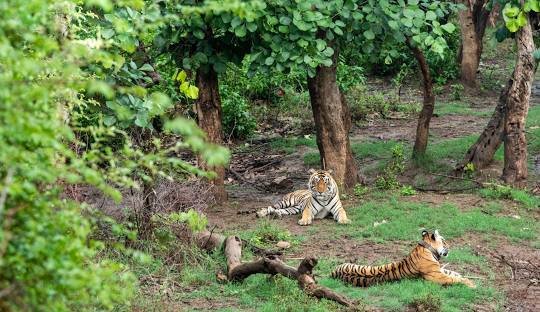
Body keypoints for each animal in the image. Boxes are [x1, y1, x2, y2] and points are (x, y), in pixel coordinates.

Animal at [332, 229, 474, 288]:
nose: (449, 247)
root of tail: (333, 272)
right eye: (444, 241)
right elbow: (454, 279)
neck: (427, 248)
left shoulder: (439, 270)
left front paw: (464, 276)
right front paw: (471, 284)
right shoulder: (437, 276)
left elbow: (454, 273)